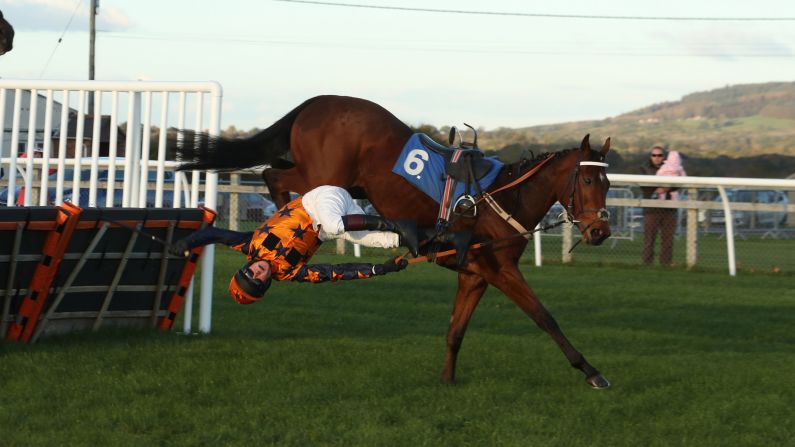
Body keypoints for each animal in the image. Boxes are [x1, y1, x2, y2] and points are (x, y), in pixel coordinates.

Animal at [179, 94, 616, 388]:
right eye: (587, 179)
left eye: (609, 182)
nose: (600, 231)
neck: (503, 197)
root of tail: (317, 102)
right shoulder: (500, 268)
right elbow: (544, 316)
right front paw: (592, 371)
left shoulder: (475, 273)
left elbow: (456, 330)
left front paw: (447, 380)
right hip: (323, 174)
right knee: (274, 175)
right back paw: (289, 216)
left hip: (344, 180)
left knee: (275, 171)